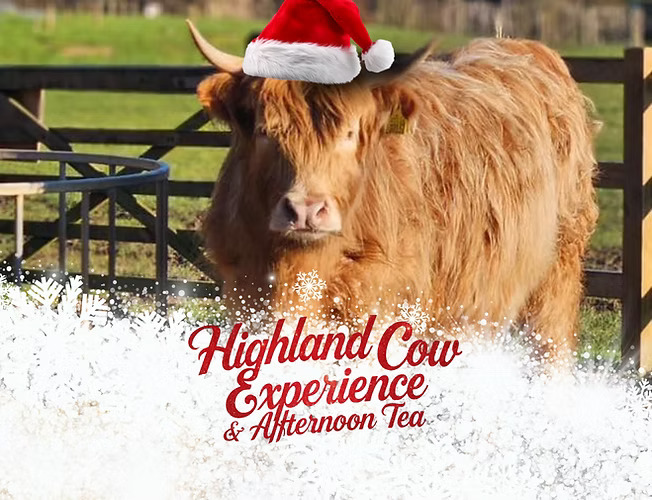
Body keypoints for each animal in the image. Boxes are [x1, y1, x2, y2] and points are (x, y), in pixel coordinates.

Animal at [187, 21, 599, 358]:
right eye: (264, 131)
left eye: (350, 132)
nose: (306, 210)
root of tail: (521, 47)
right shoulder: (246, 290)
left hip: (558, 270)